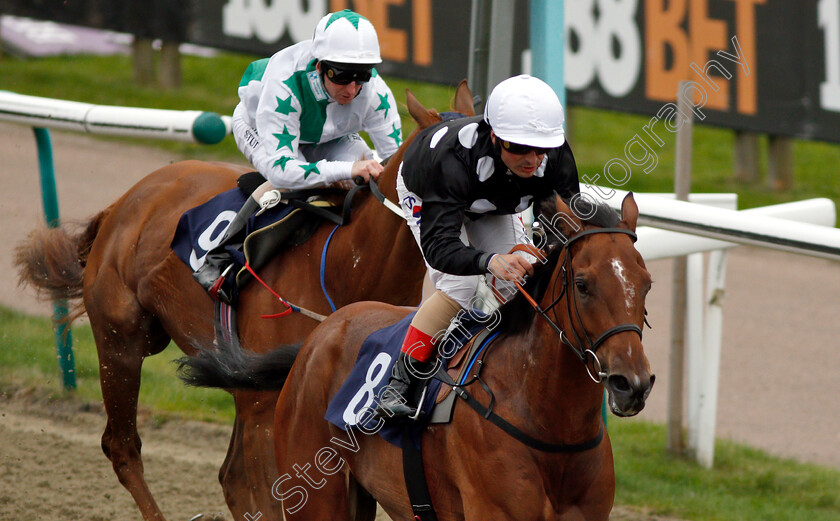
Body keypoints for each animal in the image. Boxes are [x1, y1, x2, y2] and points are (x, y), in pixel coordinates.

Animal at [14, 80, 480, 520]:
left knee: (228, 476)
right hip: (122, 341)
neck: (347, 265)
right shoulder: (268, 404)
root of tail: (123, 203)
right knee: (123, 447)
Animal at [180, 192, 656, 520]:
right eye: (583, 284)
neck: (550, 423)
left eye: (646, 282)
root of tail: (321, 332)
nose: (631, 384)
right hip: (317, 494)